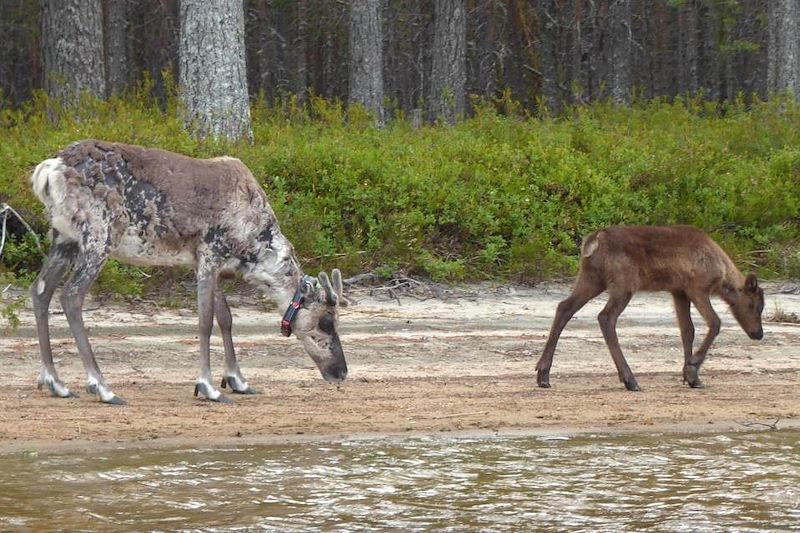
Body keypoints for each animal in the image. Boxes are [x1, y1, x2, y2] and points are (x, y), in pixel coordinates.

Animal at [536, 224, 764, 390]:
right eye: (757, 306)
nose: (758, 334)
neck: (721, 276)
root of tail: (595, 240)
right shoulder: (696, 287)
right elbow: (715, 323)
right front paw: (692, 368)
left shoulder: (678, 291)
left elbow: (687, 330)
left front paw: (691, 377)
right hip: (624, 283)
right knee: (605, 317)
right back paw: (630, 380)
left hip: (591, 277)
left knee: (564, 307)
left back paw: (543, 375)